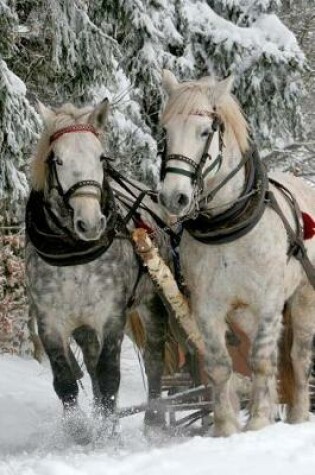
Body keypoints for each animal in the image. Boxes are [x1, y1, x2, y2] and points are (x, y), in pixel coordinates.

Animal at [25, 99, 169, 442]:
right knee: (90, 363)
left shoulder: (111, 315)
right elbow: (65, 380)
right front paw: (80, 431)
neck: (74, 253)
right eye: (58, 159)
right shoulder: (50, 320)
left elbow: (109, 375)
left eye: (101, 157)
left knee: (154, 357)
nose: (90, 223)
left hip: (151, 302)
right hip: (84, 324)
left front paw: (107, 433)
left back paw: (154, 420)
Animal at [159, 69, 315, 436]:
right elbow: (219, 365)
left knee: (297, 357)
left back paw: (298, 416)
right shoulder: (207, 306)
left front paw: (257, 422)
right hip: (244, 313)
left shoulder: (269, 300)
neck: (227, 225)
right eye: (165, 131)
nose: (174, 197)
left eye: (205, 131)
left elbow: (261, 361)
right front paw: (226, 428)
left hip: (302, 298)